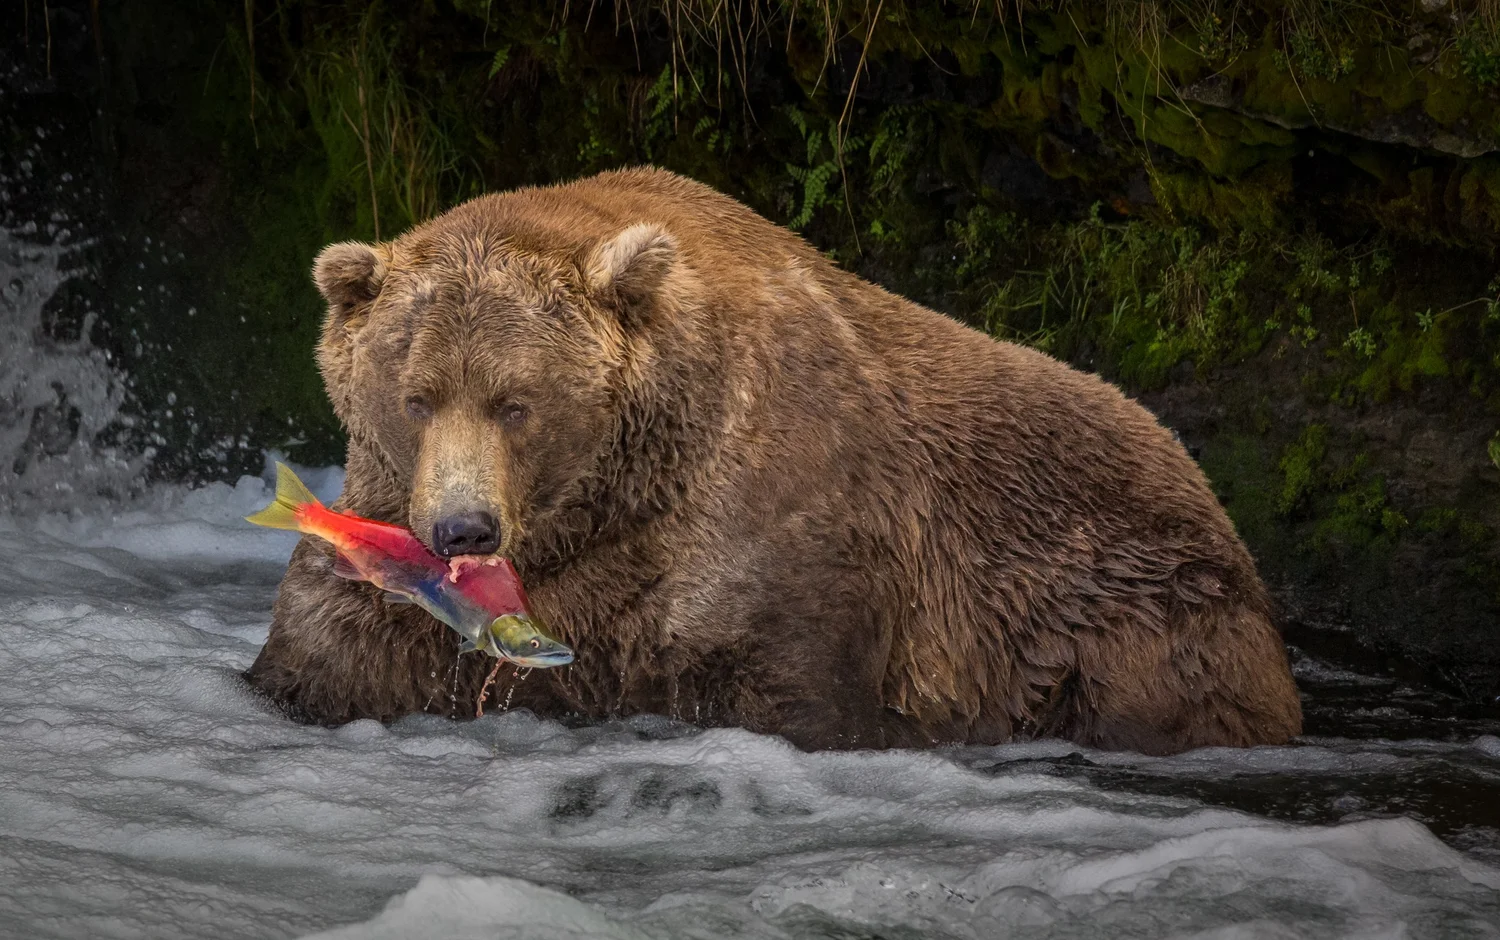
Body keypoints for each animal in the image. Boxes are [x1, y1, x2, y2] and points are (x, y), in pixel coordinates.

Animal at [245, 167, 1302, 755]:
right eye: (416, 395)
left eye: (517, 401)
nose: (463, 528)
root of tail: (1208, 491)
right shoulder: (395, 531)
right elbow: (335, 649)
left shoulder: (772, 520)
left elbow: (788, 684)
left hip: (1130, 611)